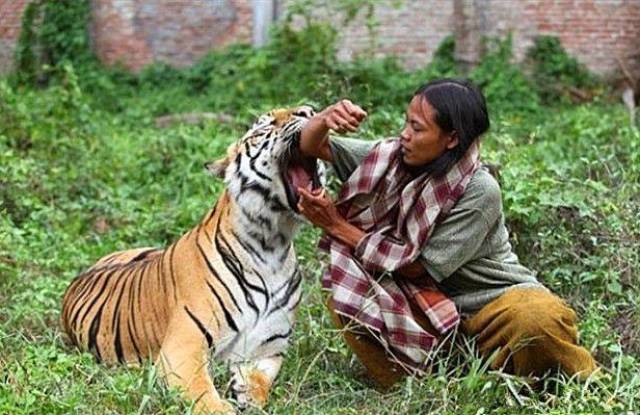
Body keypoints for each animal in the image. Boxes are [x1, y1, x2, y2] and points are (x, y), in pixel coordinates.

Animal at [60, 106, 325, 414]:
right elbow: (205, 395)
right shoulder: (182, 349)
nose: (308, 110)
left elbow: (260, 382)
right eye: (265, 126)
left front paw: (246, 393)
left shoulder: (268, 349)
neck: (271, 243)